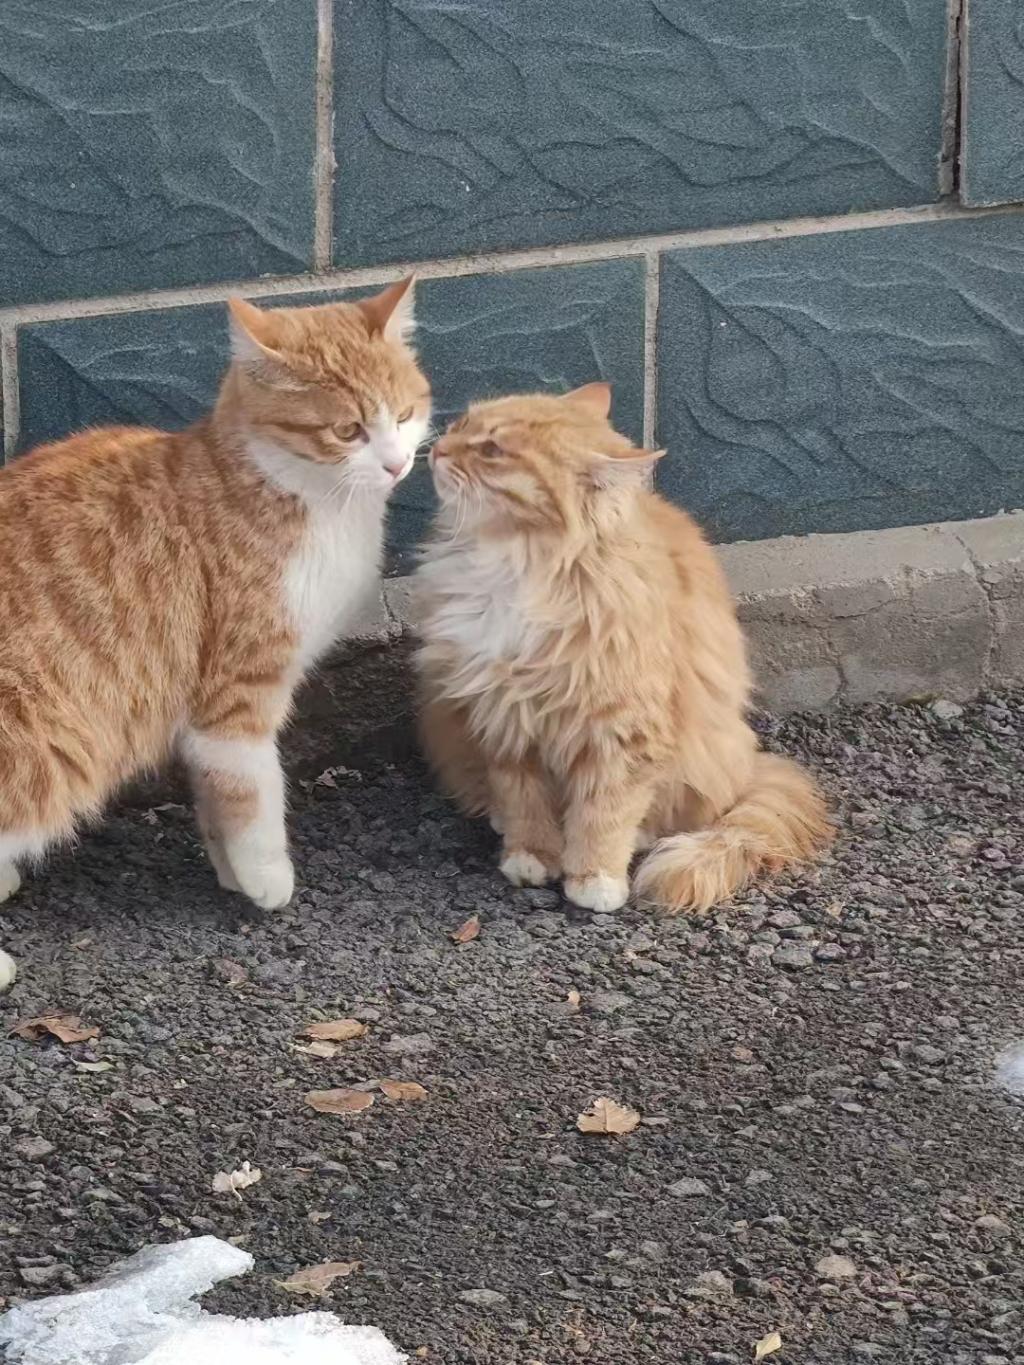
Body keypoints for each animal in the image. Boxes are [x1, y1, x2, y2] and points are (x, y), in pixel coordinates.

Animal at [0, 278, 430, 992]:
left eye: (404, 414)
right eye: (348, 430)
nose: (396, 466)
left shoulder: (200, 707)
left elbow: (212, 797)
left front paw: (230, 872)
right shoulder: (239, 697)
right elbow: (254, 794)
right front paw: (266, 877)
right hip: (48, 757)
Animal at [413, 383, 832, 916]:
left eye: (492, 450)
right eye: (462, 424)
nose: (438, 449)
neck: (517, 564)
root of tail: (752, 765)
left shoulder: (622, 731)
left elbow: (605, 812)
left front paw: (595, 878)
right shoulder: (504, 718)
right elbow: (523, 799)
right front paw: (530, 856)